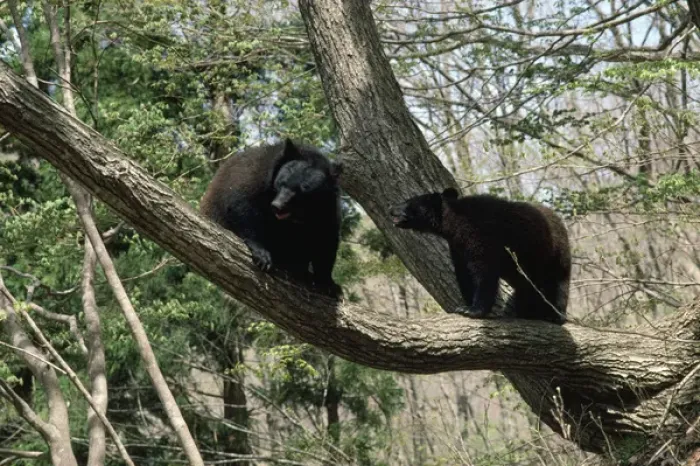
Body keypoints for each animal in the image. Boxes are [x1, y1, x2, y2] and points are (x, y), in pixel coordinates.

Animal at [200, 139, 343, 295]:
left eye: (302, 191)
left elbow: (325, 240)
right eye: (282, 183)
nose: (277, 205)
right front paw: (262, 256)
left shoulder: (327, 210)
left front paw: (329, 283)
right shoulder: (256, 180)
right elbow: (242, 206)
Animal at [389, 188, 571, 324]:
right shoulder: (457, 246)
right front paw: (466, 304)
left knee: (559, 283)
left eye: (408, 202)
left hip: (554, 254)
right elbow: (463, 273)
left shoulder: (482, 235)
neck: (453, 224)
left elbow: (484, 271)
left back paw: (555, 314)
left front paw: (473, 310)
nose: (391, 209)